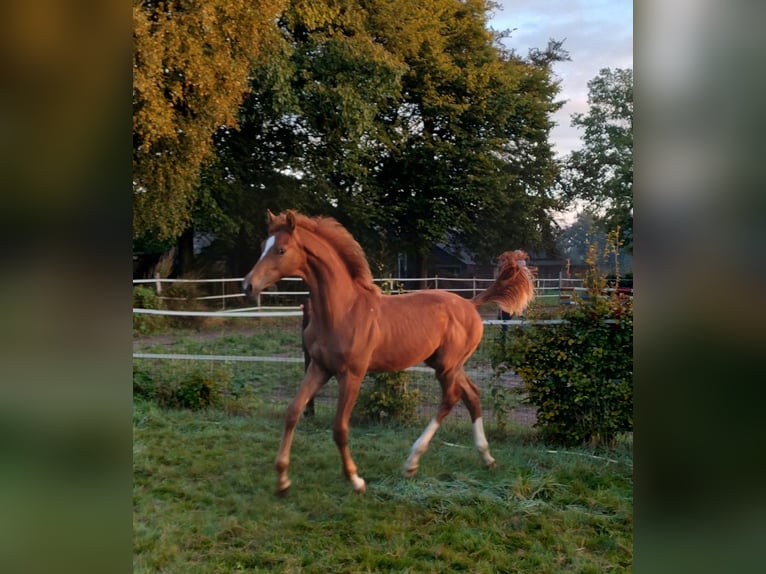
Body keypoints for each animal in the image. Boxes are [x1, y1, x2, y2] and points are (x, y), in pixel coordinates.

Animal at [243, 212, 536, 496]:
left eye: (281, 250)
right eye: (262, 246)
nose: (247, 285)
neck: (342, 310)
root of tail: (470, 303)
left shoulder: (352, 374)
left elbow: (340, 428)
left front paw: (356, 480)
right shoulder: (319, 367)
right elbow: (293, 411)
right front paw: (282, 480)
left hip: (447, 366)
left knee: (451, 398)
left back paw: (412, 462)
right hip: (447, 364)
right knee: (472, 396)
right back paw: (486, 458)